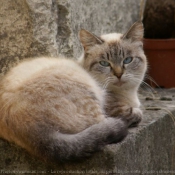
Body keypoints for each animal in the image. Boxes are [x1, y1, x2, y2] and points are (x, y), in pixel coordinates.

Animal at [0, 21, 146, 163]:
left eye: (127, 60)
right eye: (104, 63)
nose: (119, 74)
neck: (128, 93)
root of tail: (36, 134)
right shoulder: (115, 108)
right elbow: (135, 113)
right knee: (103, 125)